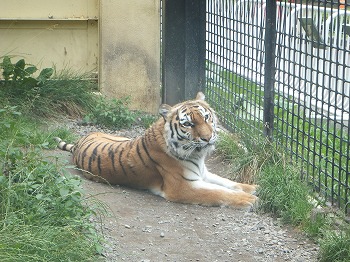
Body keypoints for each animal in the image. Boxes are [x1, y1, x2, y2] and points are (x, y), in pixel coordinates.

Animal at [54, 92, 258, 209]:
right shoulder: (182, 187)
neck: (197, 155)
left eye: (206, 117)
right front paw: (249, 200)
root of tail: (79, 142)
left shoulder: (203, 173)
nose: (208, 138)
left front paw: (252, 188)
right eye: (189, 124)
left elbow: (227, 182)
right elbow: (218, 192)